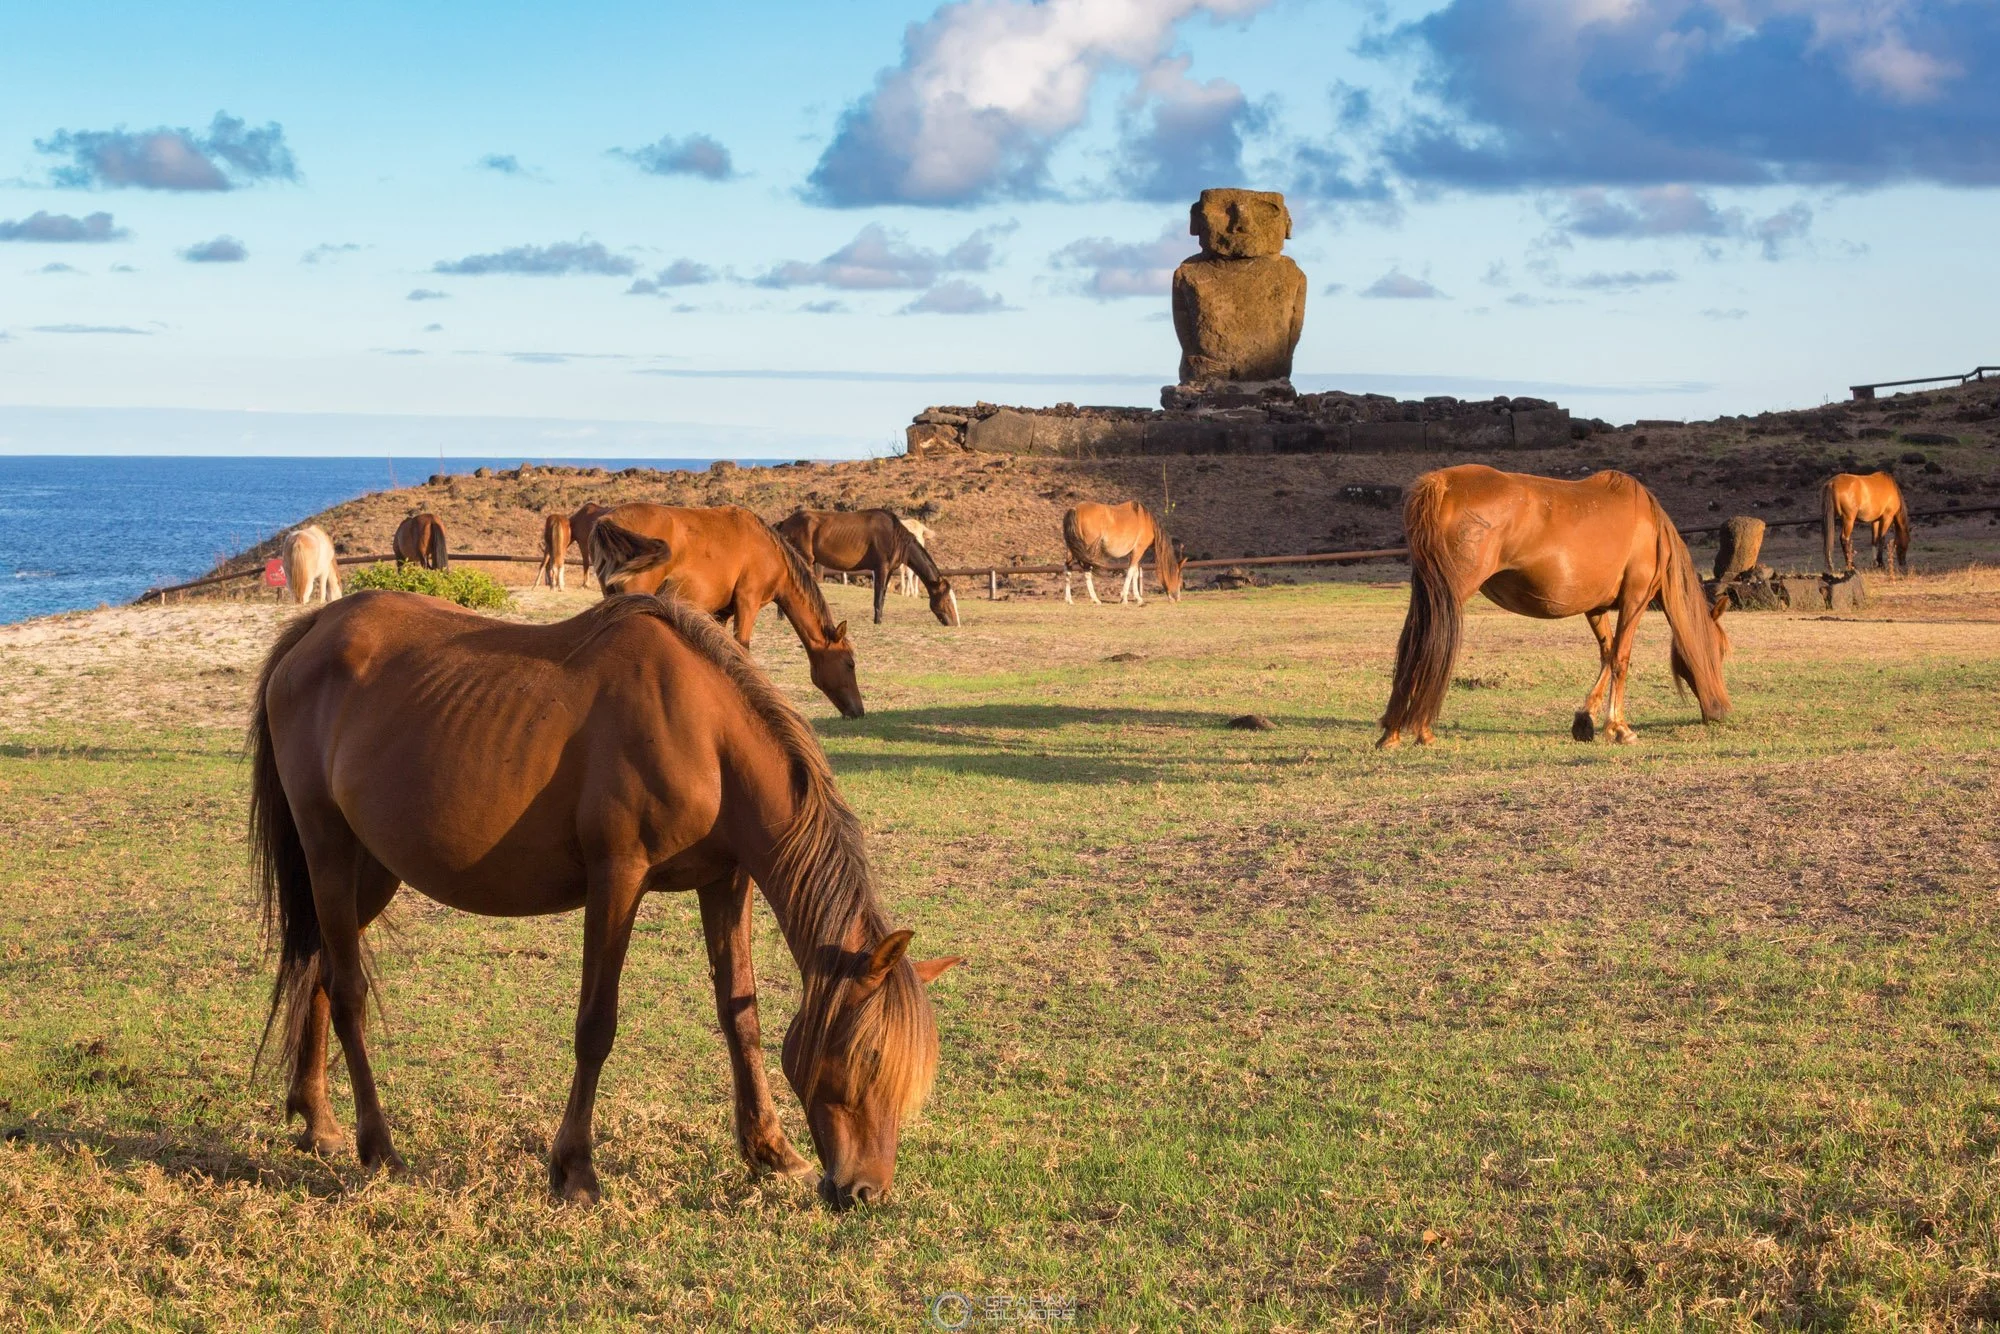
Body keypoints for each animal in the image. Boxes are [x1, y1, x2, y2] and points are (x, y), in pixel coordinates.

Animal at [249, 591, 958, 1207]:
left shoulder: (725, 881)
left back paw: (317, 1122)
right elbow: (596, 1027)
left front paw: (772, 1151)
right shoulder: (617, 879)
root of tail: (313, 630)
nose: (864, 1191)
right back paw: (379, 1149)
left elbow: (741, 1016)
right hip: (329, 852)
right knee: (347, 992)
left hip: (369, 871)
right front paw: (576, 1170)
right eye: (868, 1057)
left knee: (318, 971)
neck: (706, 736)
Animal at [587, 504, 865, 718]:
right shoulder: (747, 603)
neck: (768, 550)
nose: (858, 711)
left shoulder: (721, 613)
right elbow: (742, 648)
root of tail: (608, 519)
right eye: (850, 664)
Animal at [773, 508, 960, 627]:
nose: (955, 624)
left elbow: (882, 596)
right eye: (947, 600)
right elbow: (878, 598)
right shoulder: (881, 568)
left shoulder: (888, 571)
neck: (895, 536)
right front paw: (877, 621)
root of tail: (785, 522)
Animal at [1378, 465, 1731, 748]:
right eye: (1720, 651)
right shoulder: (1635, 599)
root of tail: (1441, 484)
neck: (1650, 527)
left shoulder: (1596, 607)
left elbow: (1606, 655)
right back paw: (1419, 730)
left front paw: (1585, 720)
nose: (1721, 710)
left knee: (1412, 646)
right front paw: (1619, 728)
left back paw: (1392, 732)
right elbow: (1621, 659)